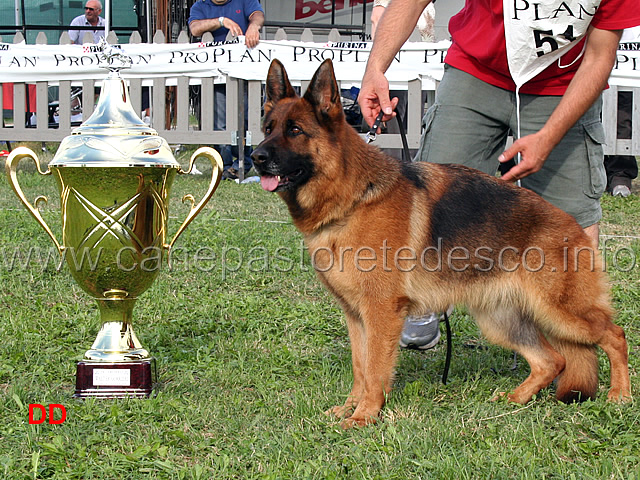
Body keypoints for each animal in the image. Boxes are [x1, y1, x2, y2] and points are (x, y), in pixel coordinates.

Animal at [250, 58, 632, 430]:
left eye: (295, 131)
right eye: (268, 128)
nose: (256, 157)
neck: (353, 198)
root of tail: (573, 225)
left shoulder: (380, 313)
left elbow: (374, 370)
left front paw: (364, 416)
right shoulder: (356, 316)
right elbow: (360, 367)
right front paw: (349, 408)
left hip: (562, 312)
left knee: (615, 335)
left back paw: (620, 396)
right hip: (501, 320)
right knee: (552, 360)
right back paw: (516, 399)